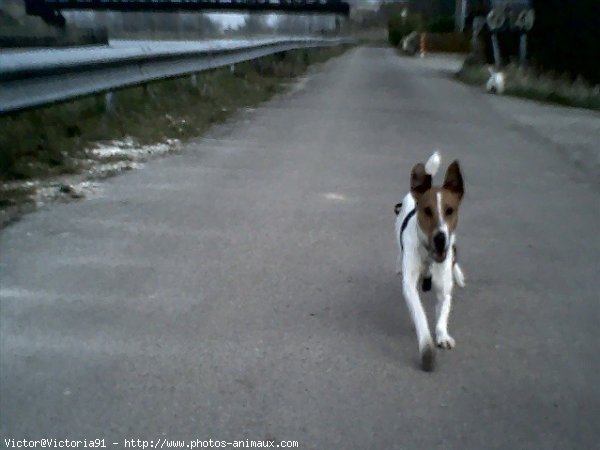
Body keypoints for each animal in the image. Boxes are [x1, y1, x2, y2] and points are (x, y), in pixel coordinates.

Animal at [396, 153, 466, 370]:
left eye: (450, 210)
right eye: (427, 211)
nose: (440, 238)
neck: (429, 257)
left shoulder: (444, 289)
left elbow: (444, 310)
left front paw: (442, 335)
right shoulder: (410, 286)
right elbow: (420, 314)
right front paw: (427, 344)